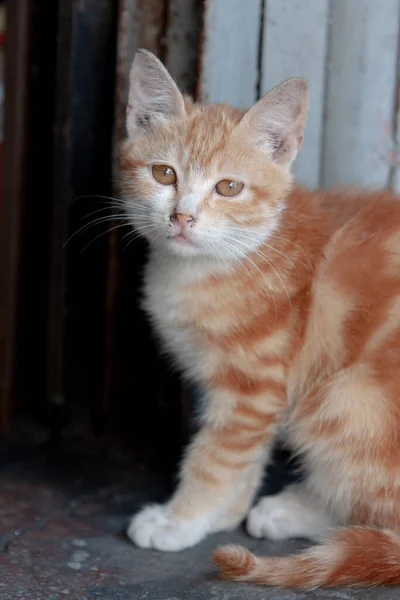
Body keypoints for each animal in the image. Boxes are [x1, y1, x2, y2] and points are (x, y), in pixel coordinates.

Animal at [119, 50, 400, 584]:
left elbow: (217, 456)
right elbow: (243, 455)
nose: (182, 217)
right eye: (164, 174)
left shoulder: (254, 382)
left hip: (348, 395)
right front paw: (221, 513)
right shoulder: (253, 392)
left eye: (229, 187)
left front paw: (181, 519)